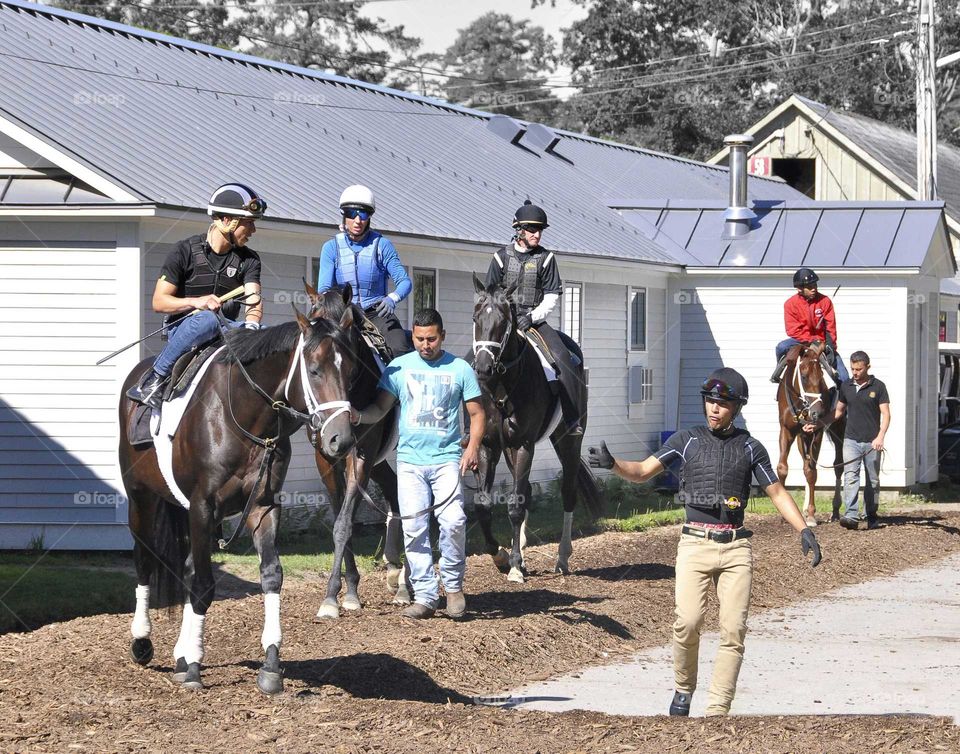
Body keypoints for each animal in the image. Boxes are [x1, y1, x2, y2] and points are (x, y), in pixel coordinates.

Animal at [119, 284, 356, 692]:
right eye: (313, 370)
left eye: (351, 368)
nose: (341, 439)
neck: (243, 417)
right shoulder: (202, 505)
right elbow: (203, 584)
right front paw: (195, 667)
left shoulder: (263, 506)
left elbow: (271, 575)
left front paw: (271, 664)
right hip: (140, 497)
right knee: (146, 559)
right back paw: (142, 642)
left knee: (184, 566)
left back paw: (179, 653)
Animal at [306, 282, 410, 616]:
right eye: (313, 317)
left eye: (345, 326)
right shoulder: (325, 459)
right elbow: (341, 517)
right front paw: (349, 589)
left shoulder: (361, 457)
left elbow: (344, 523)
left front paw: (331, 596)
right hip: (380, 462)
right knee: (394, 493)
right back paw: (395, 572)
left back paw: (405, 582)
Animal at [470, 274, 600, 580]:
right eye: (476, 317)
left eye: (503, 321)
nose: (482, 368)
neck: (503, 386)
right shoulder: (489, 446)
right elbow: (483, 505)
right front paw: (501, 556)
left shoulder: (523, 445)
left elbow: (516, 506)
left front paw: (515, 565)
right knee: (527, 492)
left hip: (567, 441)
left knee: (567, 493)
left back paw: (562, 558)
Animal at [776, 340, 844, 524]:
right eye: (804, 376)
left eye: (822, 377)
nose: (817, 413)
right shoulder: (786, 430)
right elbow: (782, 468)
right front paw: (784, 512)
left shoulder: (817, 432)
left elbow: (812, 472)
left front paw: (812, 514)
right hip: (802, 437)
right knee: (805, 462)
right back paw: (805, 509)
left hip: (838, 430)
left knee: (838, 465)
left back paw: (834, 510)